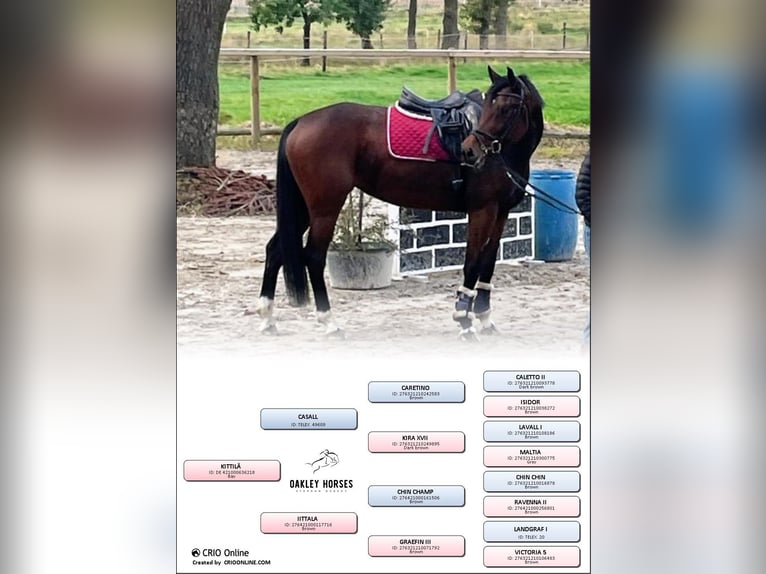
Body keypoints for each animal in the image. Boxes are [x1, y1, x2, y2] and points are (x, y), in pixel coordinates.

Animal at [256, 66, 544, 340]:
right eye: (490, 105)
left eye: (507, 108)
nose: (469, 151)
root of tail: (301, 121)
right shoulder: (482, 211)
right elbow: (472, 263)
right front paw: (464, 321)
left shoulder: (501, 213)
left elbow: (488, 262)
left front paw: (484, 318)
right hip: (324, 207)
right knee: (314, 257)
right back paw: (330, 323)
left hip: (304, 208)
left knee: (275, 250)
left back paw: (268, 319)